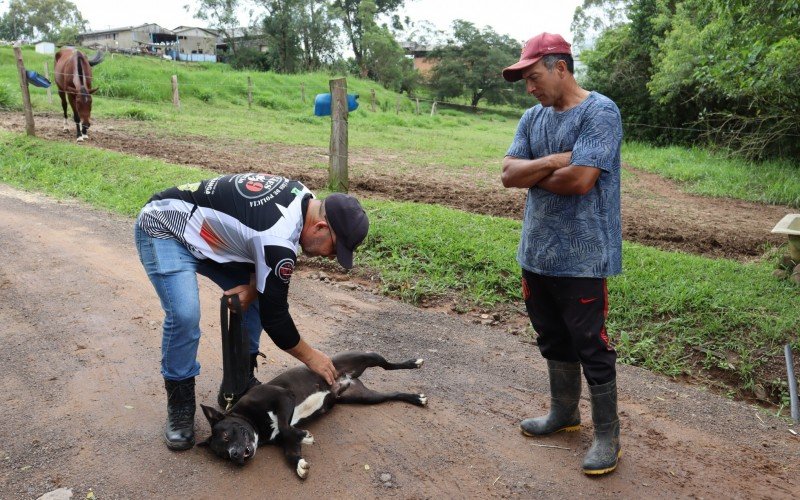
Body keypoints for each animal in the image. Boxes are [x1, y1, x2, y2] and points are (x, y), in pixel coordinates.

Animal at [200, 350, 424, 478]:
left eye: (227, 435)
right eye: (223, 455)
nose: (235, 456)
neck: (253, 421)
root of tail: (345, 378)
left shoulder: (284, 397)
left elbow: (284, 425)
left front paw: (304, 436)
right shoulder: (285, 440)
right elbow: (291, 450)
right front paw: (299, 464)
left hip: (365, 357)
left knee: (388, 365)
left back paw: (414, 363)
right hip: (366, 398)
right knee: (392, 395)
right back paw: (416, 398)